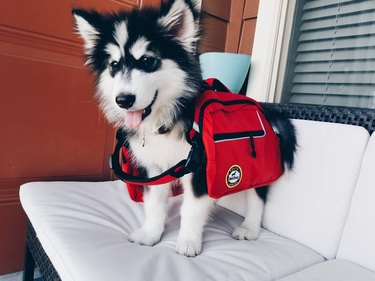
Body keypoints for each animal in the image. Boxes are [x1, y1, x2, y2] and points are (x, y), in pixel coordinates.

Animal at [72, 0, 296, 256]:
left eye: (147, 61)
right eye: (114, 65)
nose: (123, 100)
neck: (164, 122)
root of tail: (265, 111)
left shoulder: (199, 170)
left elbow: (191, 210)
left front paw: (188, 242)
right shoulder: (154, 169)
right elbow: (154, 205)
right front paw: (151, 234)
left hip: (257, 166)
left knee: (257, 196)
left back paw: (249, 228)